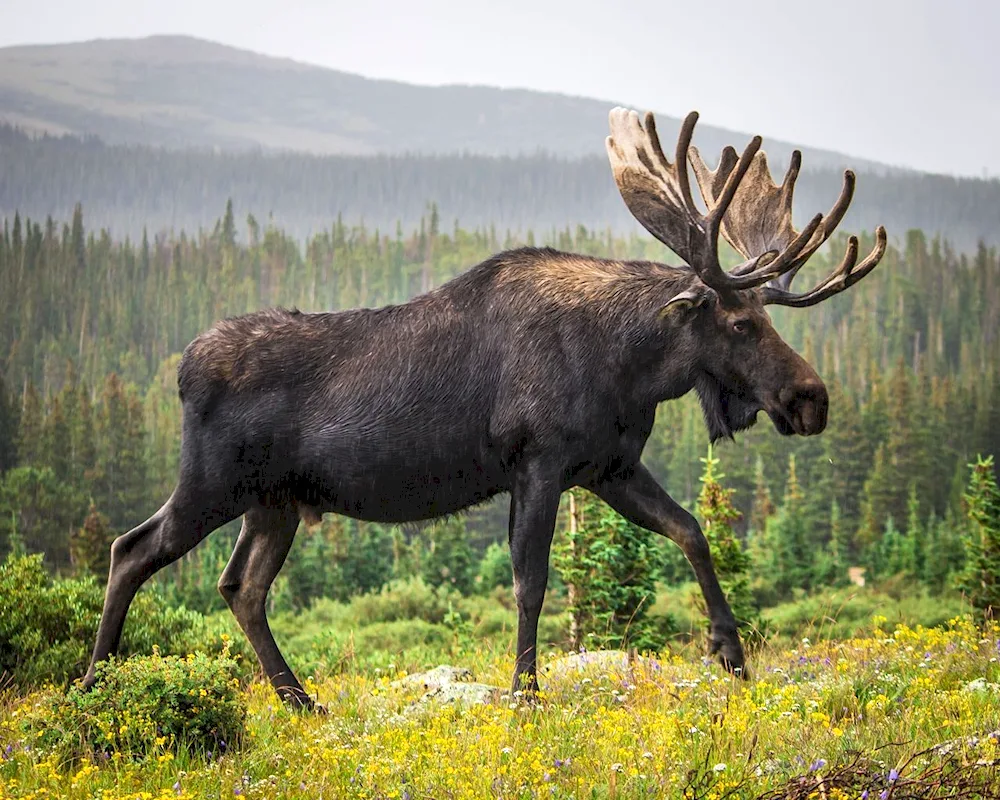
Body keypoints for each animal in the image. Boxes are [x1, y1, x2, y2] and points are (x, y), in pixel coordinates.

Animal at [84, 106, 884, 708]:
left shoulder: (609, 467)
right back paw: (94, 684)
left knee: (241, 587)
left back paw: (300, 700)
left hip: (274, 501)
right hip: (213, 482)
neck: (628, 369)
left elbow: (690, 529)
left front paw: (732, 652)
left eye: (767, 316)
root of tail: (182, 368)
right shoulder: (539, 461)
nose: (811, 399)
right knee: (132, 549)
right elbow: (531, 581)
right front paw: (526, 695)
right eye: (741, 323)